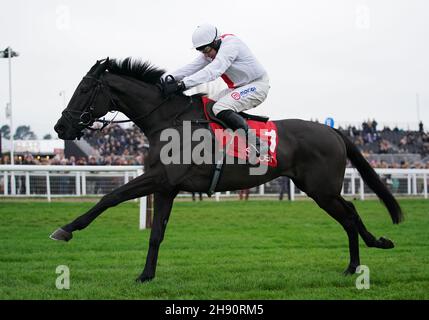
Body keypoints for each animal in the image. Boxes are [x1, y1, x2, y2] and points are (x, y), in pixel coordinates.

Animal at [51, 58, 402, 282]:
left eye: (84, 89)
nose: (60, 127)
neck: (167, 120)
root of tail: (332, 130)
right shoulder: (166, 187)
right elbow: (156, 233)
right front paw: (146, 275)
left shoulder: (160, 178)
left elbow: (110, 197)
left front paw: (66, 228)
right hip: (320, 189)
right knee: (349, 215)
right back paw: (357, 262)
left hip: (321, 189)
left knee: (350, 214)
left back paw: (367, 254)